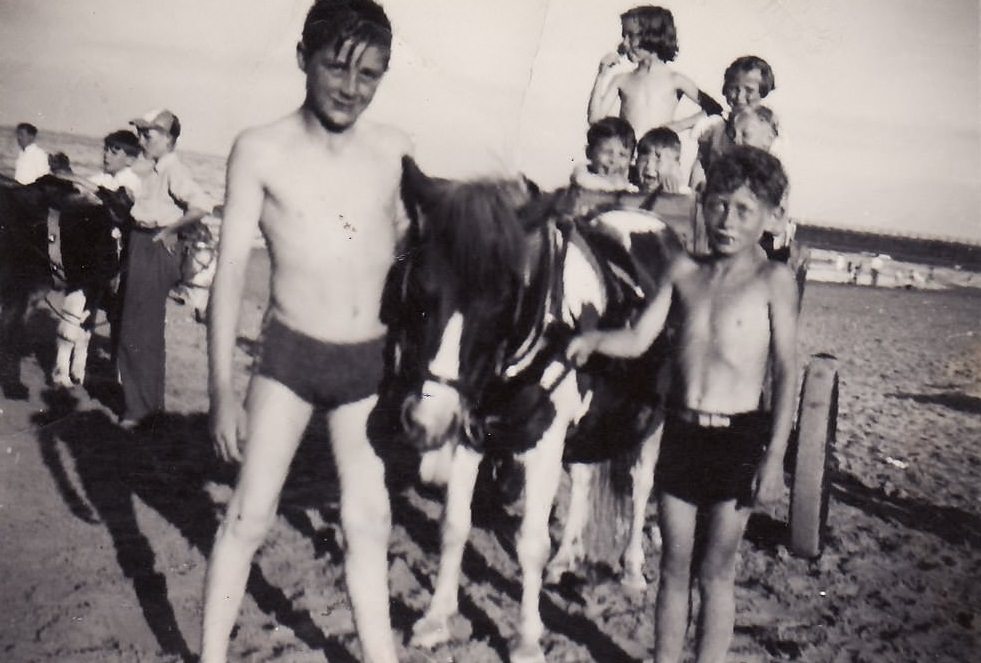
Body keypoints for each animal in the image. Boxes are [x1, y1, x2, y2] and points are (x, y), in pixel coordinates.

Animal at [372, 157, 684, 663]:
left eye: (502, 300)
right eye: (418, 290)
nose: (425, 422)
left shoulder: (543, 443)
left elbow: (531, 543)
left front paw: (526, 638)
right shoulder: (471, 432)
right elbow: (454, 525)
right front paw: (436, 619)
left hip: (652, 423)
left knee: (640, 488)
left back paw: (633, 571)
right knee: (584, 479)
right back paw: (567, 558)